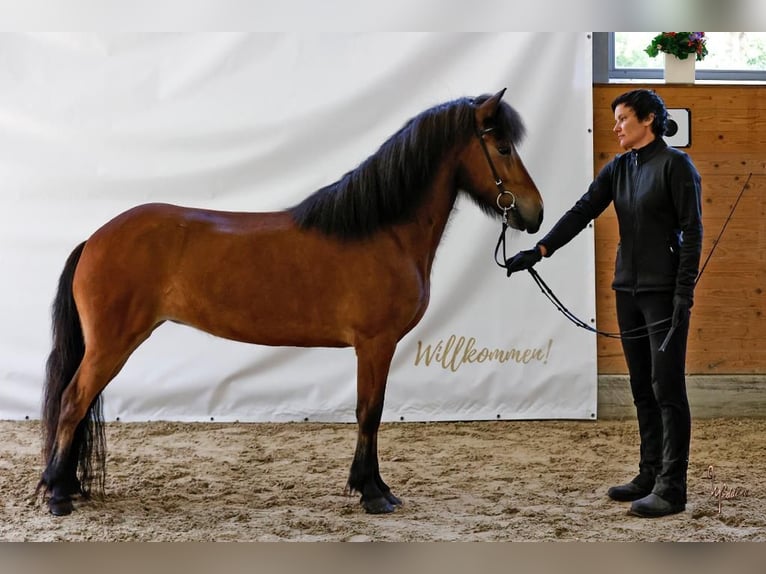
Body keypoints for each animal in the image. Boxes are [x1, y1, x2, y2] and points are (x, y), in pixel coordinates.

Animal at [37, 90, 544, 516]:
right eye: (502, 148)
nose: (535, 213)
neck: (383, 231)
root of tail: (95, 239)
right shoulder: (375, 345)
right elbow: (370, 412)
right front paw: (372, 493)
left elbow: (371, 412)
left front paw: (376, 487)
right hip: (111, 345)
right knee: (72, 401)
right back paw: (58, 494)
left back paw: (68, 486)